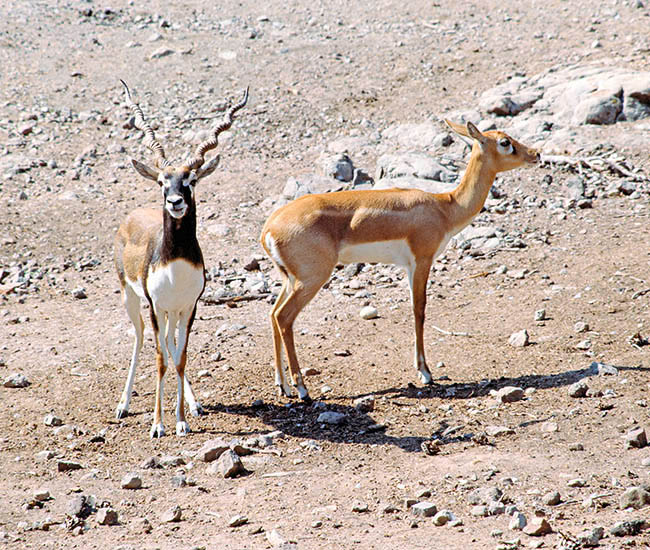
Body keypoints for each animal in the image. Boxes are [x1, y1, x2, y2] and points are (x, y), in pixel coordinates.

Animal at [115, 80, 247, 438]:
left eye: (191, 179)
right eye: (162, 181)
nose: (175, 201)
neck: (174, 266)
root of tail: (132, 216)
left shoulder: (189, 306)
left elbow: (181, 357)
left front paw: (182, 419)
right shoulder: (155, 306)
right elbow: (162, 359)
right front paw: (158, 424)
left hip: (173, 312)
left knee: (172, 344)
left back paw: (193, 404)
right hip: (132, 298)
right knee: (141, 339)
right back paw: (123, 405)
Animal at [258, 121, 536, 404]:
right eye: (505, 142)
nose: (535, 154)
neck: (445, 208)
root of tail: (269, 229)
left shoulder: (408, 266)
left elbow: (414, 309)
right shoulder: (422, 260)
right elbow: (419, 310)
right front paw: (425, 373)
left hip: (290, 279)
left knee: (272, 314)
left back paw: (283, 386)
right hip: (312, 279)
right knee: (284, 317)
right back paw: (302, 389)